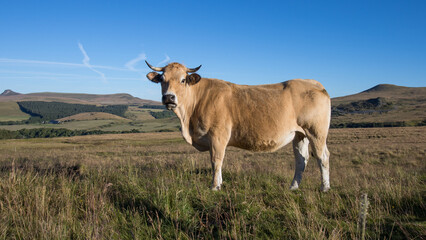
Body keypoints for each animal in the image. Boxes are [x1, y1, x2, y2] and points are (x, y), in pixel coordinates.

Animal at [145, 61, 332, 192]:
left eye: (183, 80)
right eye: (162, 79)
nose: (169, 98)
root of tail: (312, 82)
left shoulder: (218, 135)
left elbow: (216, 161)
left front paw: (214, 187)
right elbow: (218, 163)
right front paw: (219, 184)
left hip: (316, 131)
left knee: (322, 156)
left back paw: (325, 188)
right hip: (300, 134)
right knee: (301, 159)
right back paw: (293, 187)